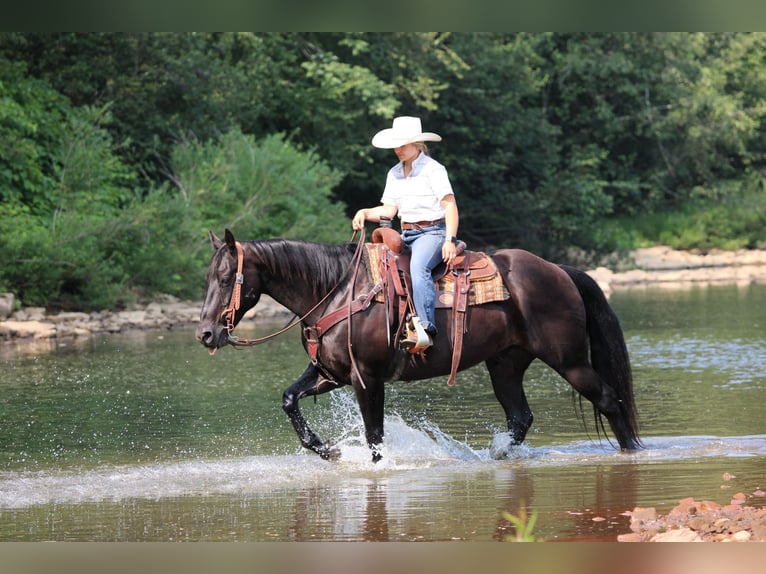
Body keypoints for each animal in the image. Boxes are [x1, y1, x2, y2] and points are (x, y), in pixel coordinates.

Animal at [196, 229, 641, 462]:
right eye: (208, 278)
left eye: (226, 278)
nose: (205, 334)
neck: (336, 290)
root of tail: (559, 270)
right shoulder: (330, 373)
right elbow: (290, 399)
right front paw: (328, 450)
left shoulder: (366, 379)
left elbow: (374, 436)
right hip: (505, 364)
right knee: (521, 417)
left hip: (569, 360)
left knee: (608, 399)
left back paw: (631, 452)